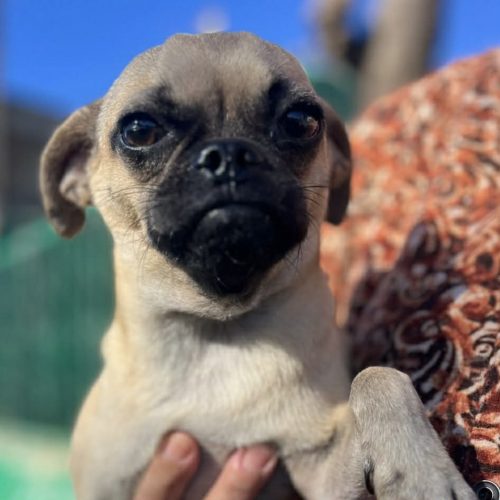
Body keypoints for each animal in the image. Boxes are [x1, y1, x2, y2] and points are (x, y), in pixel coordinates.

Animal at [40, 32, 475, 499]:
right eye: (139, 130)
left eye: (300, 121)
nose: (229, 154)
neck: (220, 332)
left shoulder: (322, 474)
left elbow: (380, 377)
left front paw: (424, 473)